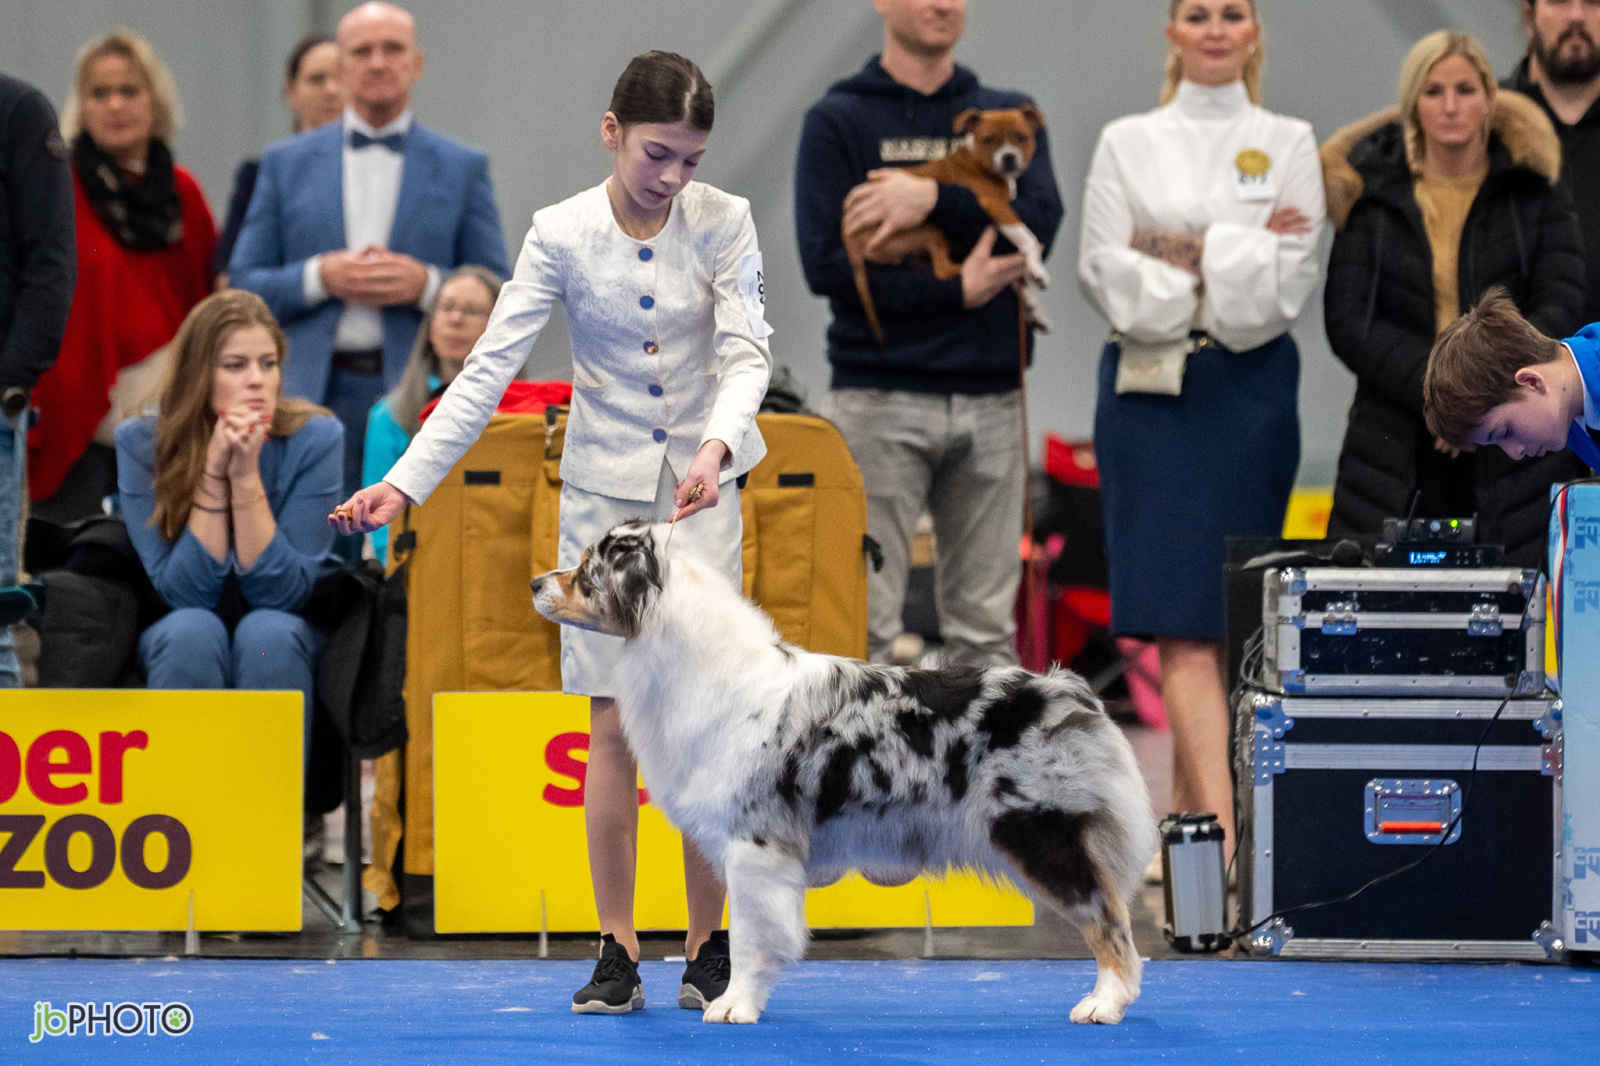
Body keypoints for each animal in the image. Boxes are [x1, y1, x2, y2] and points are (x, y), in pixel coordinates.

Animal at [531, 521, 1157, 1027]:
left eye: (586, 569)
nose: (535, 582)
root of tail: (1072, 691)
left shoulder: (755, 844)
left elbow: (751, 937)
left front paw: (735, 1006)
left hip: (1042, 833)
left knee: (1111, 922)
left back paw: (1104, 1003)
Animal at [843, 106, 1053, 343]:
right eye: (989, 140)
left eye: (1022, 137)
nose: (1008, 157)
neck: (977, 158)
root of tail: (848, 234)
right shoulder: (996, 206)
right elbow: (1027, 237)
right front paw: (1038, 269)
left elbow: (1019, 276)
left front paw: (1032, 306)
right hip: (928, 226)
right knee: (943, 270)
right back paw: (968, 268)